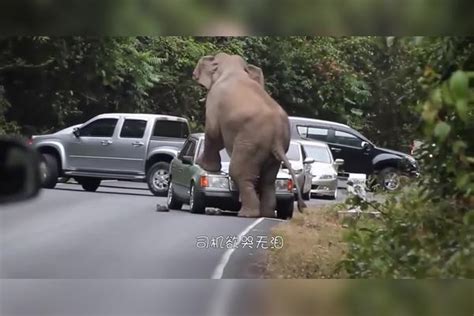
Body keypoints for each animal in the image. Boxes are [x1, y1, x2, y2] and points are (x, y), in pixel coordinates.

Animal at [193, 53, 308, 218]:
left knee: (239, 173)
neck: (233, 69)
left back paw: (246, 214)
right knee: (268, 180)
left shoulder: (214, 103)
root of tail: (277, 139)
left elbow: (213, 133)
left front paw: (204, 165)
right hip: (274, 151)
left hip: (250, 144)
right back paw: (267, 214)